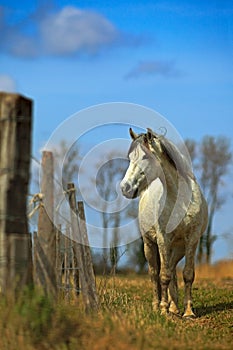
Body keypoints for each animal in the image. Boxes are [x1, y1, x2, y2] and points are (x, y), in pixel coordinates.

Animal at [120, 128, 208, 318]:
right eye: (130, 157)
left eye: (145, 157)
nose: (125, 188)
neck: (181, 198)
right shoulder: (163, 239)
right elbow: (163, 276)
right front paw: (162, 309)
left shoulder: (192, 239)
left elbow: (187, 274)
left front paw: (188, 312)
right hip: (149, 245)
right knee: (154, 273)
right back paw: (158, 306)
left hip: (178, 248)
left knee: (173, 270)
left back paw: (174, 308)